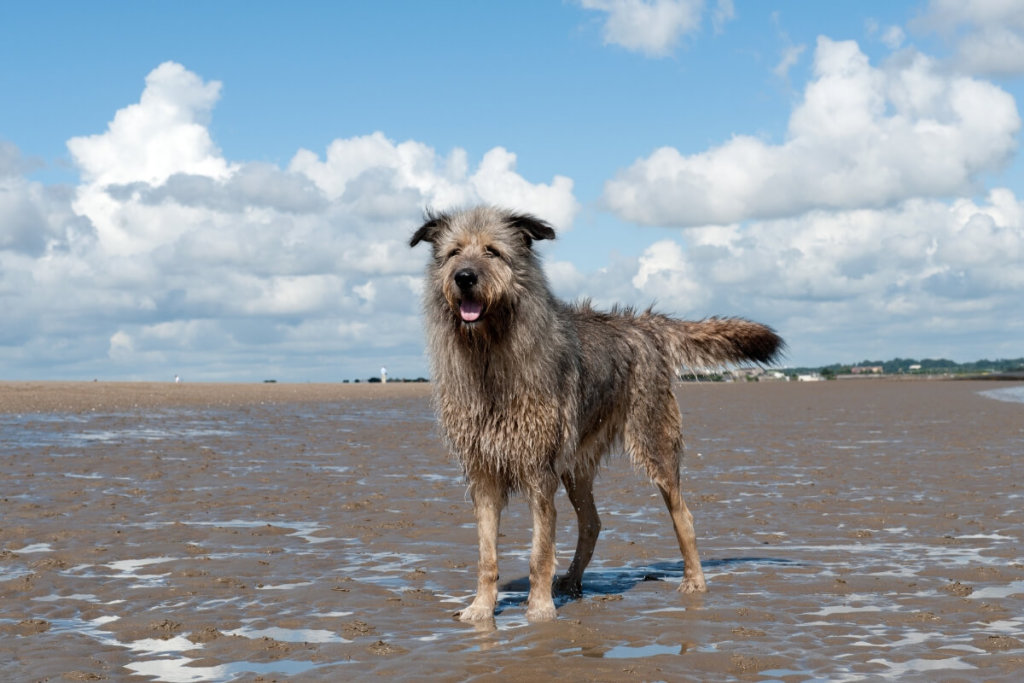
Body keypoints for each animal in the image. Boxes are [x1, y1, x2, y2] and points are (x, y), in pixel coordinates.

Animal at [411, 205, 778, 622]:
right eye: (454, 253)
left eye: (492, 251)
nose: (465, 277)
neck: (490, 356)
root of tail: (644, 324)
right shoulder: (483, 473)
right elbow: (487, 555)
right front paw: (481, 609)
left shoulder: (539, 472)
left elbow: (540, 551)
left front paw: (539, 610)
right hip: (577, 465)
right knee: (592, 522)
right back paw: (572, 582)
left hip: (653, 443)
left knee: (682, 515)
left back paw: (694, 582)